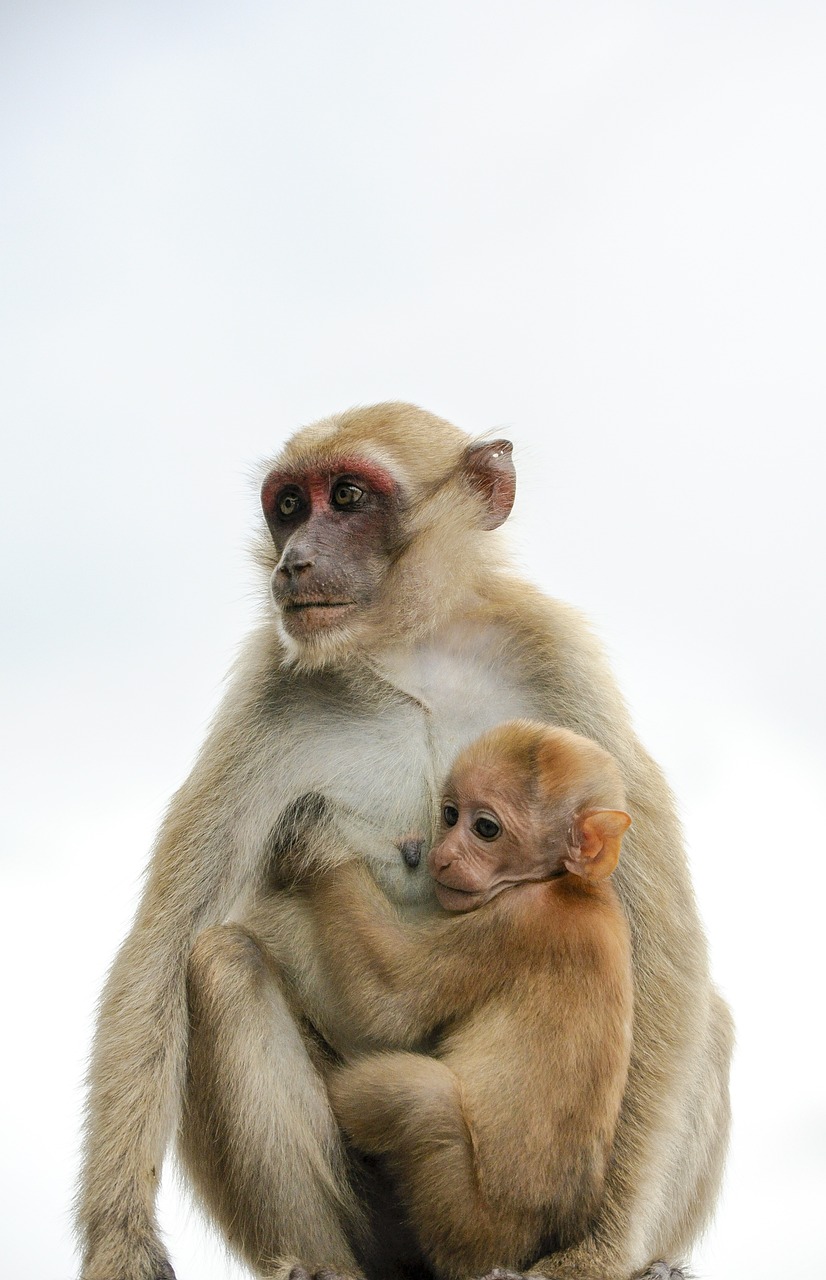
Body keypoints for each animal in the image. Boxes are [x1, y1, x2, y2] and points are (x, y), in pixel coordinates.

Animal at [302, 721, 632, 1280]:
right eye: (451, 815)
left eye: (485, 829)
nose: (442, 856)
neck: (568, 882)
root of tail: (523, 1247)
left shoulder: (516, 922)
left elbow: (389, 1000)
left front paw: (316, 838)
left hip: (466, 1224)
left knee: (420, 1097)